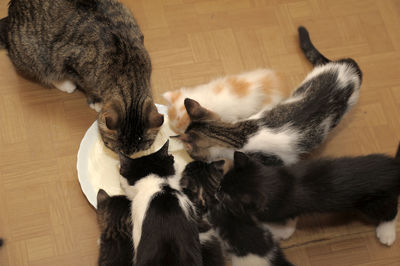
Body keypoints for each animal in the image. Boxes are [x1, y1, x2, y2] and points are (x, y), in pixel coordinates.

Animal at [0, 0, 163, 156]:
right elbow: (87, 86)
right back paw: (65, 84)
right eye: (114, 149)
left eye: (137, 151)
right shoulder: (73, 64)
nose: (125, 158)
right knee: (46, 73)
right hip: (33, 56)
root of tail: (10, 18)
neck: (130, 69)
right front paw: (96, 101)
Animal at [217, 147, 400, 246]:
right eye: (221, 183)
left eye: (227, 196)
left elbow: (286, 225)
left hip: (373, 203)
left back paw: (386, 232)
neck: (279, 180)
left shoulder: (282, 209)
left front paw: (276, 231)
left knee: (391, 211)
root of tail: (394, 167)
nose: (217, 193)